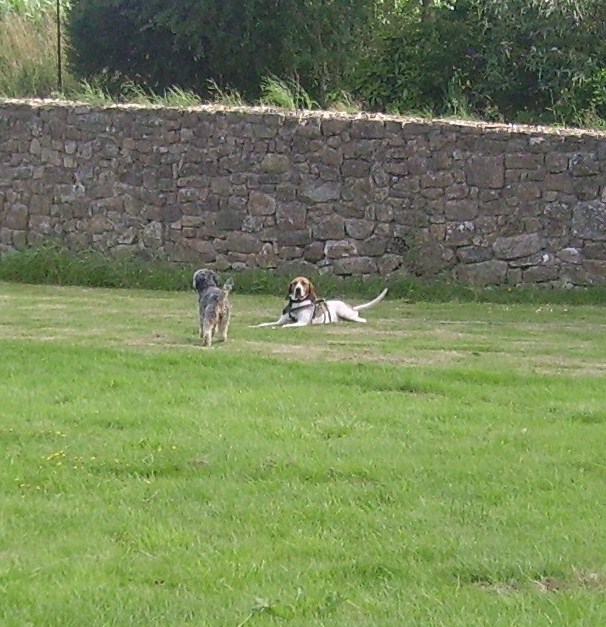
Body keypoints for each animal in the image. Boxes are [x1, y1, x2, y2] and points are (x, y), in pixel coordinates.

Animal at [252, 278, 390, 332]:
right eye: (295, 283)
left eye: (304, 283)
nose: (298, 289)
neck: (298, 304)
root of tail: (351, 306)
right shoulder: (279, 321)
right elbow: (266, 324)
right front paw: (255, 326)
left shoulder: (302, 322)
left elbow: (286, 326)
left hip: (345, 313)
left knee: (361, 319)